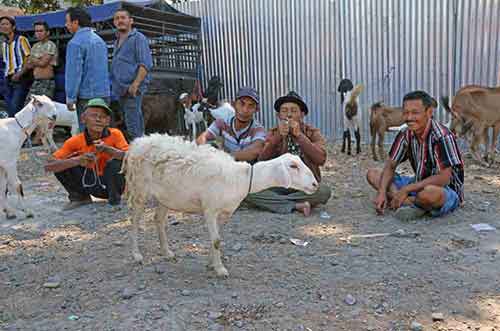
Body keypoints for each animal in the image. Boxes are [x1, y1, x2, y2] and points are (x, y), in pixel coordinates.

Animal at [121, 134, 318, 278]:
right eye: (293, 166)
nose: (315, 184)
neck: (241, 178)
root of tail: (136, 144)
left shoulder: (224, 213)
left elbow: (216, 239)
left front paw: (211, 263)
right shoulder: (210, 208)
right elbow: (216, 240)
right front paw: (220, 269)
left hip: (166, 196)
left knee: (158, 220)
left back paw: (167, 252)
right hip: (139, 189)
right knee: (135, 221)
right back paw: (136, 255)